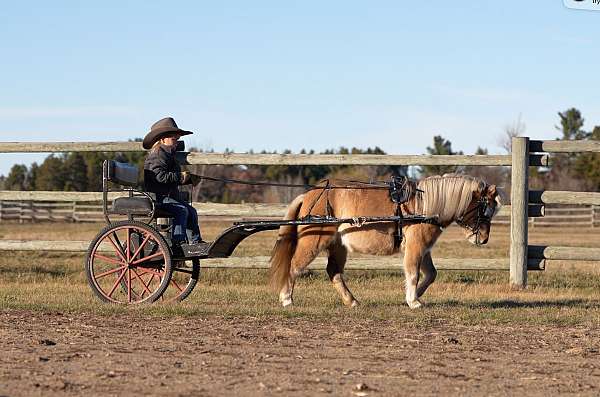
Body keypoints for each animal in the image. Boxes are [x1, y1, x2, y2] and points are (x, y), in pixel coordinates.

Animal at [270, 172, 502, 306]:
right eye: (484, 208)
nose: (483, 238)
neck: (425, 205)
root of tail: (309, 194)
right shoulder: (416, 246)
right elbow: (412, 273)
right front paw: (413, 301)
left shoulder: (423, 248)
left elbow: (430, 274)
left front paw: (416, 295)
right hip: (314, 240)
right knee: (294, 266)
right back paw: (286, 299)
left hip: (338, 245)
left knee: (334, 272)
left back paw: (351, 301)